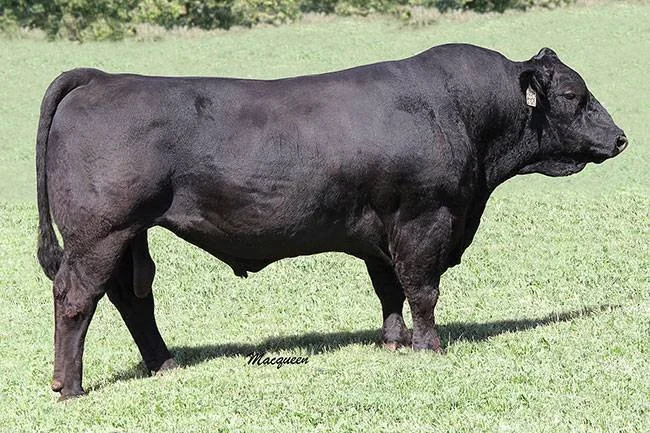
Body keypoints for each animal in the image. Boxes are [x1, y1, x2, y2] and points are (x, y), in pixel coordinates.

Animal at [36, 43, 627, 399]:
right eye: (573, 94)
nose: (621, 137)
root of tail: (102, 77)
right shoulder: (424, 218)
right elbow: (423, 288)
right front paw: (429, 348)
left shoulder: (381, 230)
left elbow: (390, 290)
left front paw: (394, 343)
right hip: (99, 233)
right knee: (76, 297)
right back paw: (69, 387)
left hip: (129, 235)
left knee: (132, 298)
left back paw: (164, 364)